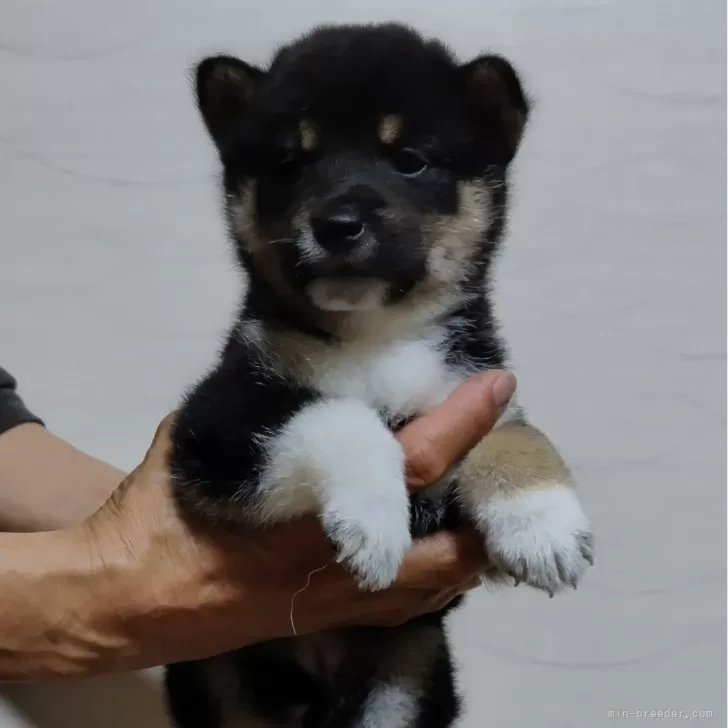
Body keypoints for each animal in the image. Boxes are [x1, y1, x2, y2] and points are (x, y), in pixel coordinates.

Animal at [164, 22, 592, 728]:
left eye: (410, 160)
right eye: (291, 164)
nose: (337, 224)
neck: (377, 333)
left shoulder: (478, 390)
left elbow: (518, 434)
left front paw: (542, 521)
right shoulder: (217, 422)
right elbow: (338, 414)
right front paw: (373, 518)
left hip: (409, 673)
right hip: (217, 675)